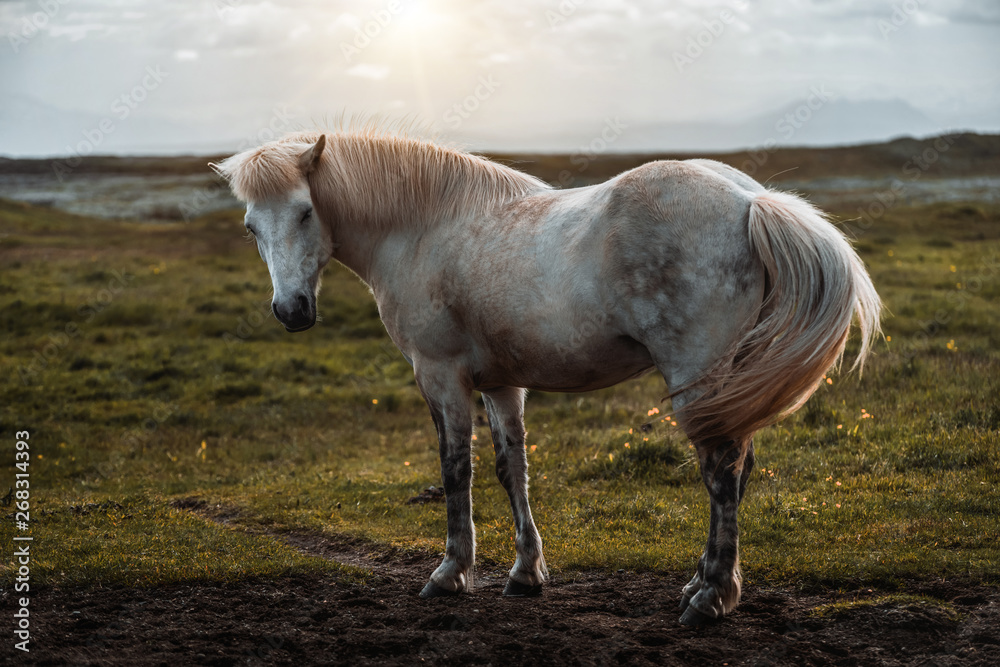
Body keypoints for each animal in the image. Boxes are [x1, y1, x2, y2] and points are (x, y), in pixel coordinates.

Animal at [209, 130, 876, 628]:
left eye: (304, 212)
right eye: (249, 227)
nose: (292, 310)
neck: (423, 229)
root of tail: (749, 200)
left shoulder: (440, 376)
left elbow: (455, 469)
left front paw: (451, 573)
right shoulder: (501, 384)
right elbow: (513, 469)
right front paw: (526, 572)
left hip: (699, 378)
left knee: (720, 474)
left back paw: (709, 598)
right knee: (738, 472)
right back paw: (700, 585)